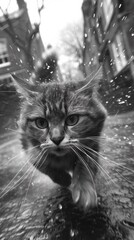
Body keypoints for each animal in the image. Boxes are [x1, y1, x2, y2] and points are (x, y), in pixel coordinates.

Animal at [11, 49, 107, 211]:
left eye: (72, 120)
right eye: (41, 123)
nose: (56, 139)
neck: (64, 159)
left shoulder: (92, 144)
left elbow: (84, 165)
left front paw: (83, 188)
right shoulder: (32, 152)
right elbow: (47, 167)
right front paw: (65, 180)